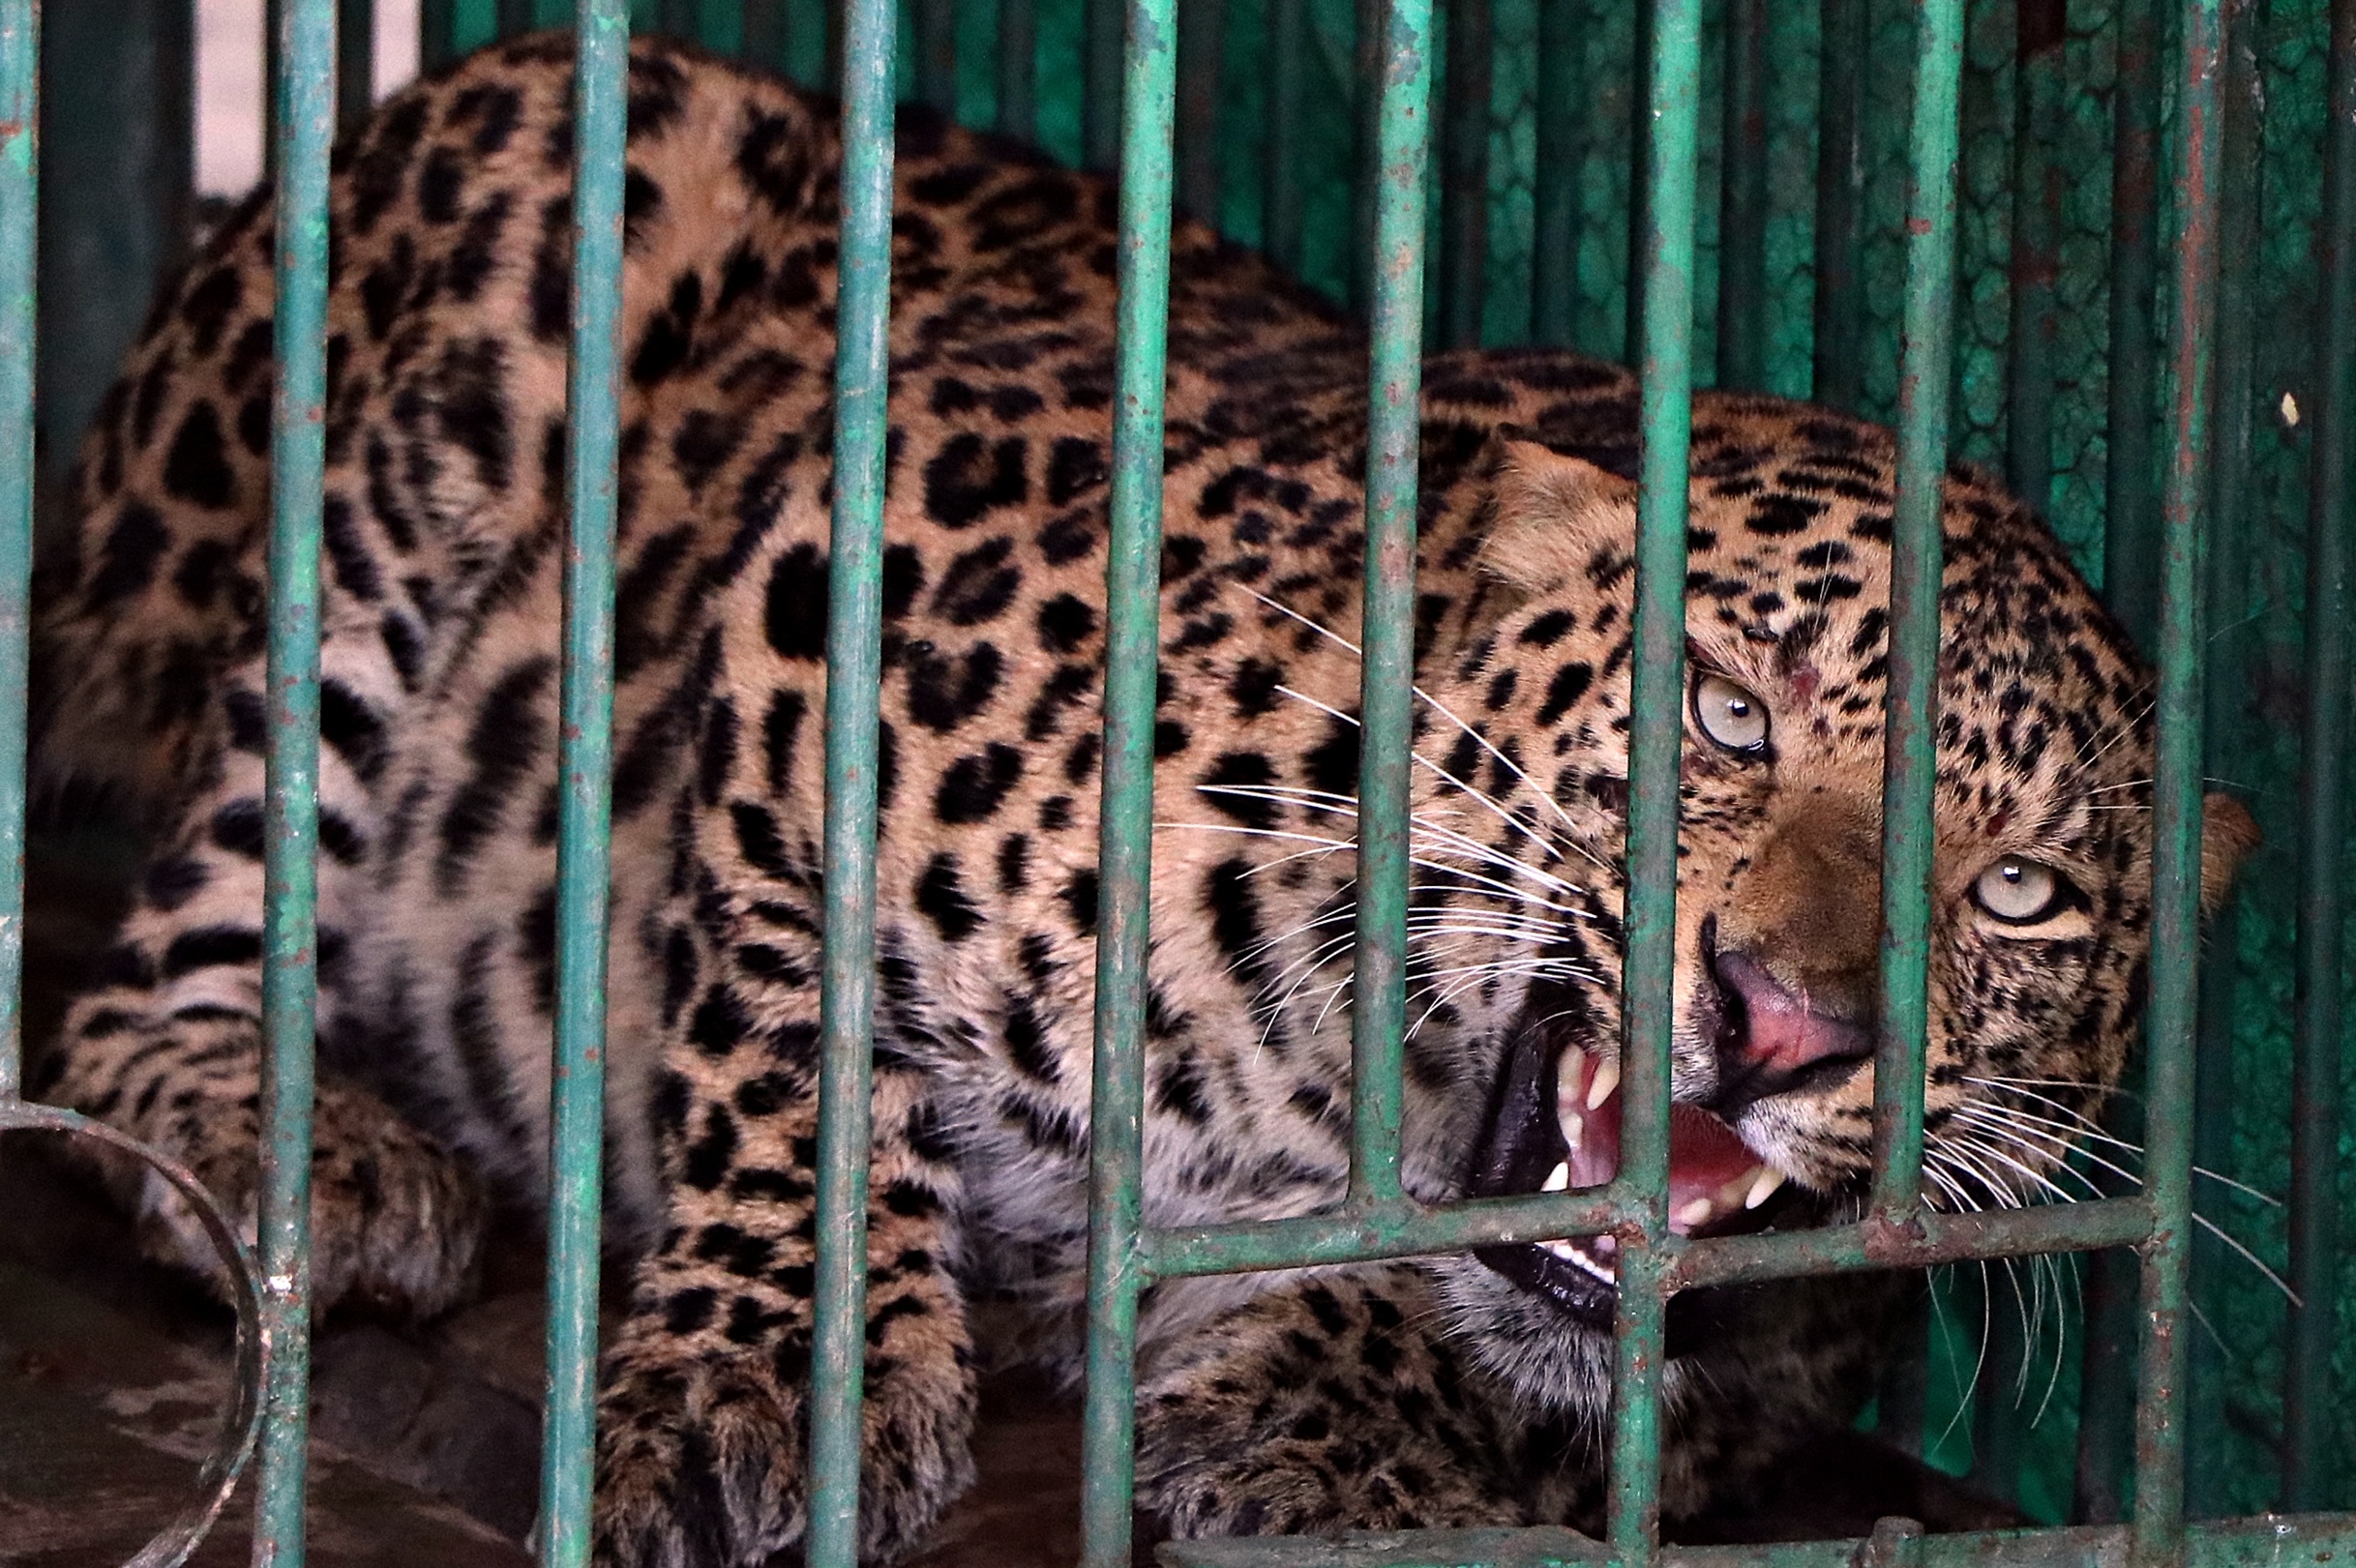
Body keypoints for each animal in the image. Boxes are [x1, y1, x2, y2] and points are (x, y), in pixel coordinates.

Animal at [30, 32, 2256, 1567]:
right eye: (1721, 712)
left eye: (2022, 896)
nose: (1785, 1024)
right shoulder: (837, 581)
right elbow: (789, 1039)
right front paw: (789, 1365)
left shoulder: (1801, 1349)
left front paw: (1311, 1404)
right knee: (126, 996)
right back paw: (300, 1159)